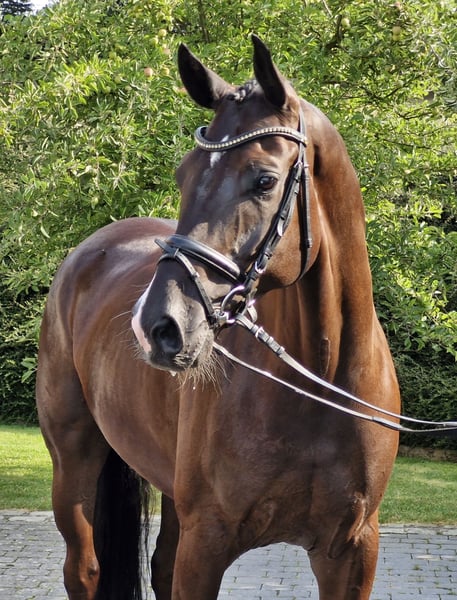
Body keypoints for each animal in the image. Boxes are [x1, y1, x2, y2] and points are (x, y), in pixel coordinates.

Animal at [36, 36, 400, 600]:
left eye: (264, 179)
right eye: (183, 175)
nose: (157, 325)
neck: (320, 381)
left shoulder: (353, 551)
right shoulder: (207, 543)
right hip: (73, 462)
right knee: (85, 569)